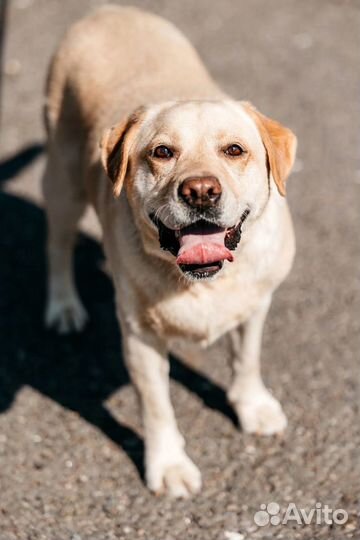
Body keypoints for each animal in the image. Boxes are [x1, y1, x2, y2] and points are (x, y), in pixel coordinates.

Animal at [43, 6, 296, 500]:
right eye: (162, 151)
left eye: (234, 150)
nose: (200, 191)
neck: (206, 283)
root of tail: (107, 10)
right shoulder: (141, 339)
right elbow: (157, 406)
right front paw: (169, 465)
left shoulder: (256, 305)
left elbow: (247, 359)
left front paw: (252, 406)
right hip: (62, 182)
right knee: (58, 246)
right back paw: (63, 306)